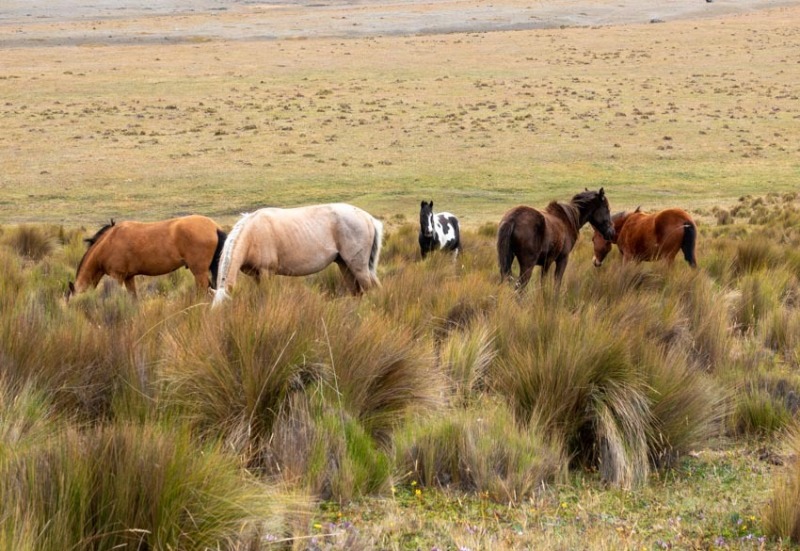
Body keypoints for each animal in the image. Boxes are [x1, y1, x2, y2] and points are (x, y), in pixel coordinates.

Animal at [67, 217, 227, 302]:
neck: (108, 242)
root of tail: (214, 227)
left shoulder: (117, 277)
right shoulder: (128, 277)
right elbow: (133, 298)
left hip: (199, 272)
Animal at [212, 203, 384, 306]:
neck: (252, 233)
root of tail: (368, 218)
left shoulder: (267, 273)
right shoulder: (256, 276)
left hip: (359, 267)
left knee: (370, 289)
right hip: (345, 265)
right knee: (357, 292)